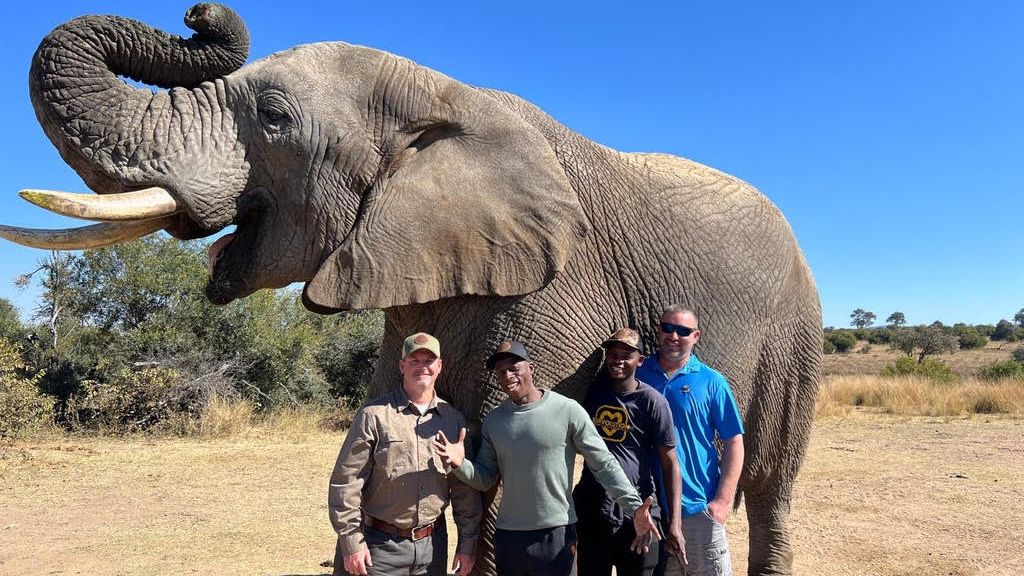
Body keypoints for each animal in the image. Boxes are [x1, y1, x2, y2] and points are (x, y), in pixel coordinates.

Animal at [4, 4, 822, 575]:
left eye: (273, 118)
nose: (197, 13)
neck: (442, 94)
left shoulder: (558, 287)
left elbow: (496, 472)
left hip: (795, 333)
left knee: (768, 482)